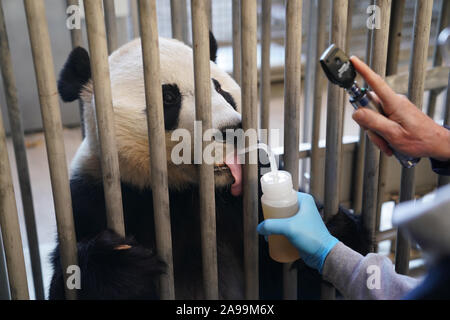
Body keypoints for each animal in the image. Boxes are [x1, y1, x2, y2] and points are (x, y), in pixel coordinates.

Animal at [50, 33, 366, 300]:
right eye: (168, 97)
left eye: (220, 89)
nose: (235, 130)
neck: (184, 192)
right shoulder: (95, 198)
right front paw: (121, 264)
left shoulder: (243, 205)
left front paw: (332, 230)